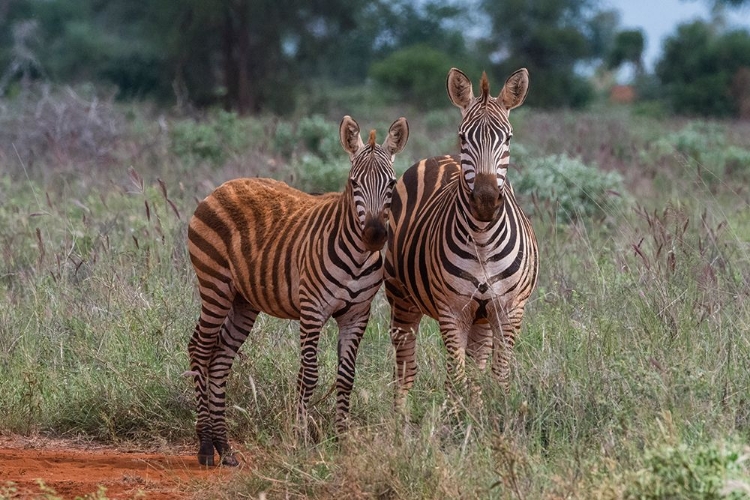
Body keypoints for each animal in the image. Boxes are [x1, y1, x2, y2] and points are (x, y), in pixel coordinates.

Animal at [191, 115, 408, 466]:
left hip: (243, 301)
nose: (375, 236)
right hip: (215, 286)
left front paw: (343, 439)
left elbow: (346, 377)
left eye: (391, 184)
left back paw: (225, 447)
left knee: (220, 357)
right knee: (199, 348)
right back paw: (206, 446)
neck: (358, 257)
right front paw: (301, 438)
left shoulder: (357, 315)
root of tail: (224, 186)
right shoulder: (312, 310)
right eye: (353, 184)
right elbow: (308, 374)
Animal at [384, 69, 536, 414]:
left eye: (508, 138)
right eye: (464, 137)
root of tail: (440, 157)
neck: (482, 240)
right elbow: (455, 377)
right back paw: (398, 420)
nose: (485, 200)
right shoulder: (452, 311)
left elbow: (498, 375)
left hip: (481, 317)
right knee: (405, 367)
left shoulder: (509, 310)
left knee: (476, 366)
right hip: (400, 297)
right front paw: (457, 421)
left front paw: (496, 417)